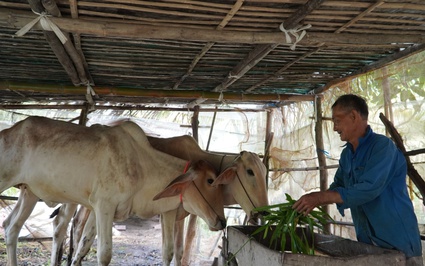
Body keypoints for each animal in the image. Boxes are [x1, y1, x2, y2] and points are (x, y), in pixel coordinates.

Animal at [0, 117, 225, 266]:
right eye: (210, 180)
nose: (222, 221)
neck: (142, 165)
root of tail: (7, 131)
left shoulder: (97, 209)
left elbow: (83, 246)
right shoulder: (104, 206)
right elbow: (104, 254)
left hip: (29, 193)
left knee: (12, 227)